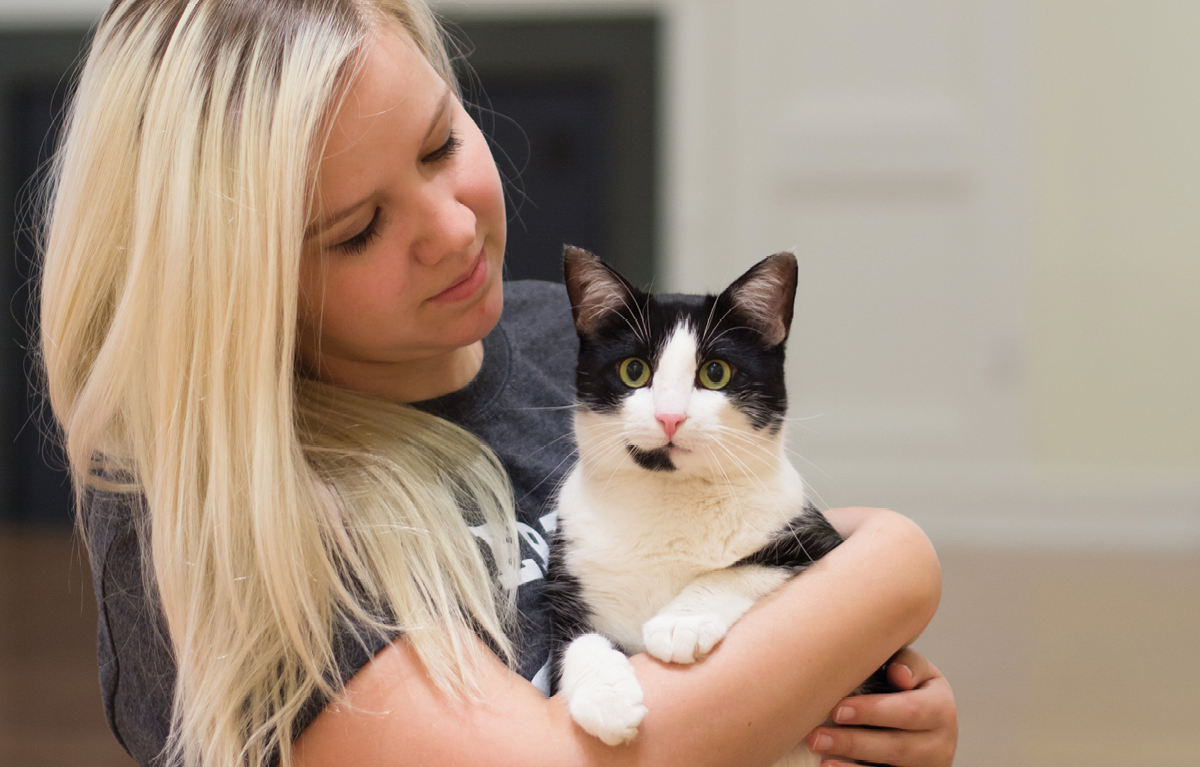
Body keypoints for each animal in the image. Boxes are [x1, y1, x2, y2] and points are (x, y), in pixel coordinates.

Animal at [544, 246, 892, 767]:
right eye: (633, 371)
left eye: (715, 373)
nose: (670, 417)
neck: (669, 497)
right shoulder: (567, 575)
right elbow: (572, 639)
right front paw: (606, 698)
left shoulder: (817, 539)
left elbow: (743, 567)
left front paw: (678, 624)